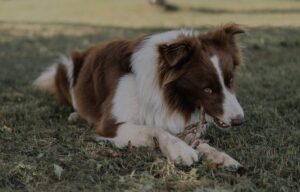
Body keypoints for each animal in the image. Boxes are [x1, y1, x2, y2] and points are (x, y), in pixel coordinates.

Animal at [34, 23, 246, 168]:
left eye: (230, 81)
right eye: (207, 89)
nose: (239, 121)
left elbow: (195, 140)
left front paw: (219, 155)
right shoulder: (110, 125)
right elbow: (155, 129)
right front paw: (180, 149)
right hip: (67, 65)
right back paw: (75, 114)